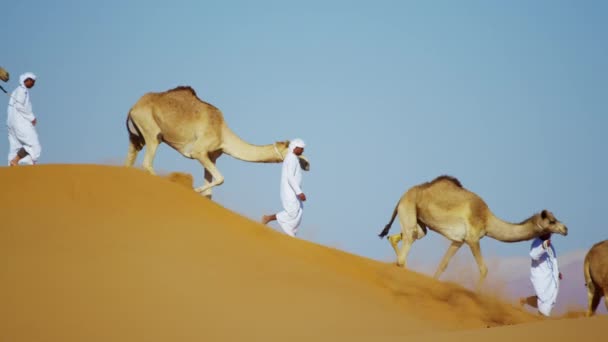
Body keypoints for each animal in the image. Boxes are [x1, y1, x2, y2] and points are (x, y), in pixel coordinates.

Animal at [126, 85, 312, 198]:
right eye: (296, 151)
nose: (307, 164)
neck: (223, 134)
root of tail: (133, 108)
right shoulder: (198, 151)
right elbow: (220, 179)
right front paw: (194, 189)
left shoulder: (211, 156)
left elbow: (210, 191)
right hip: (151, 131)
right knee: (148, 162)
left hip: (136, 137)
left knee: (130, 160)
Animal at [378, 175, 568, 290]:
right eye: (552, 221)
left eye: (556, 218)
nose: (565, 229)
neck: (487, 219)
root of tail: (402, 198)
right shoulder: (473, 239)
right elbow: (484, 269)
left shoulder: (459, 241)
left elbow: (443, 264)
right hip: (409, 210)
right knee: (406, 247)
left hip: (420, 223)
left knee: (401, 238)